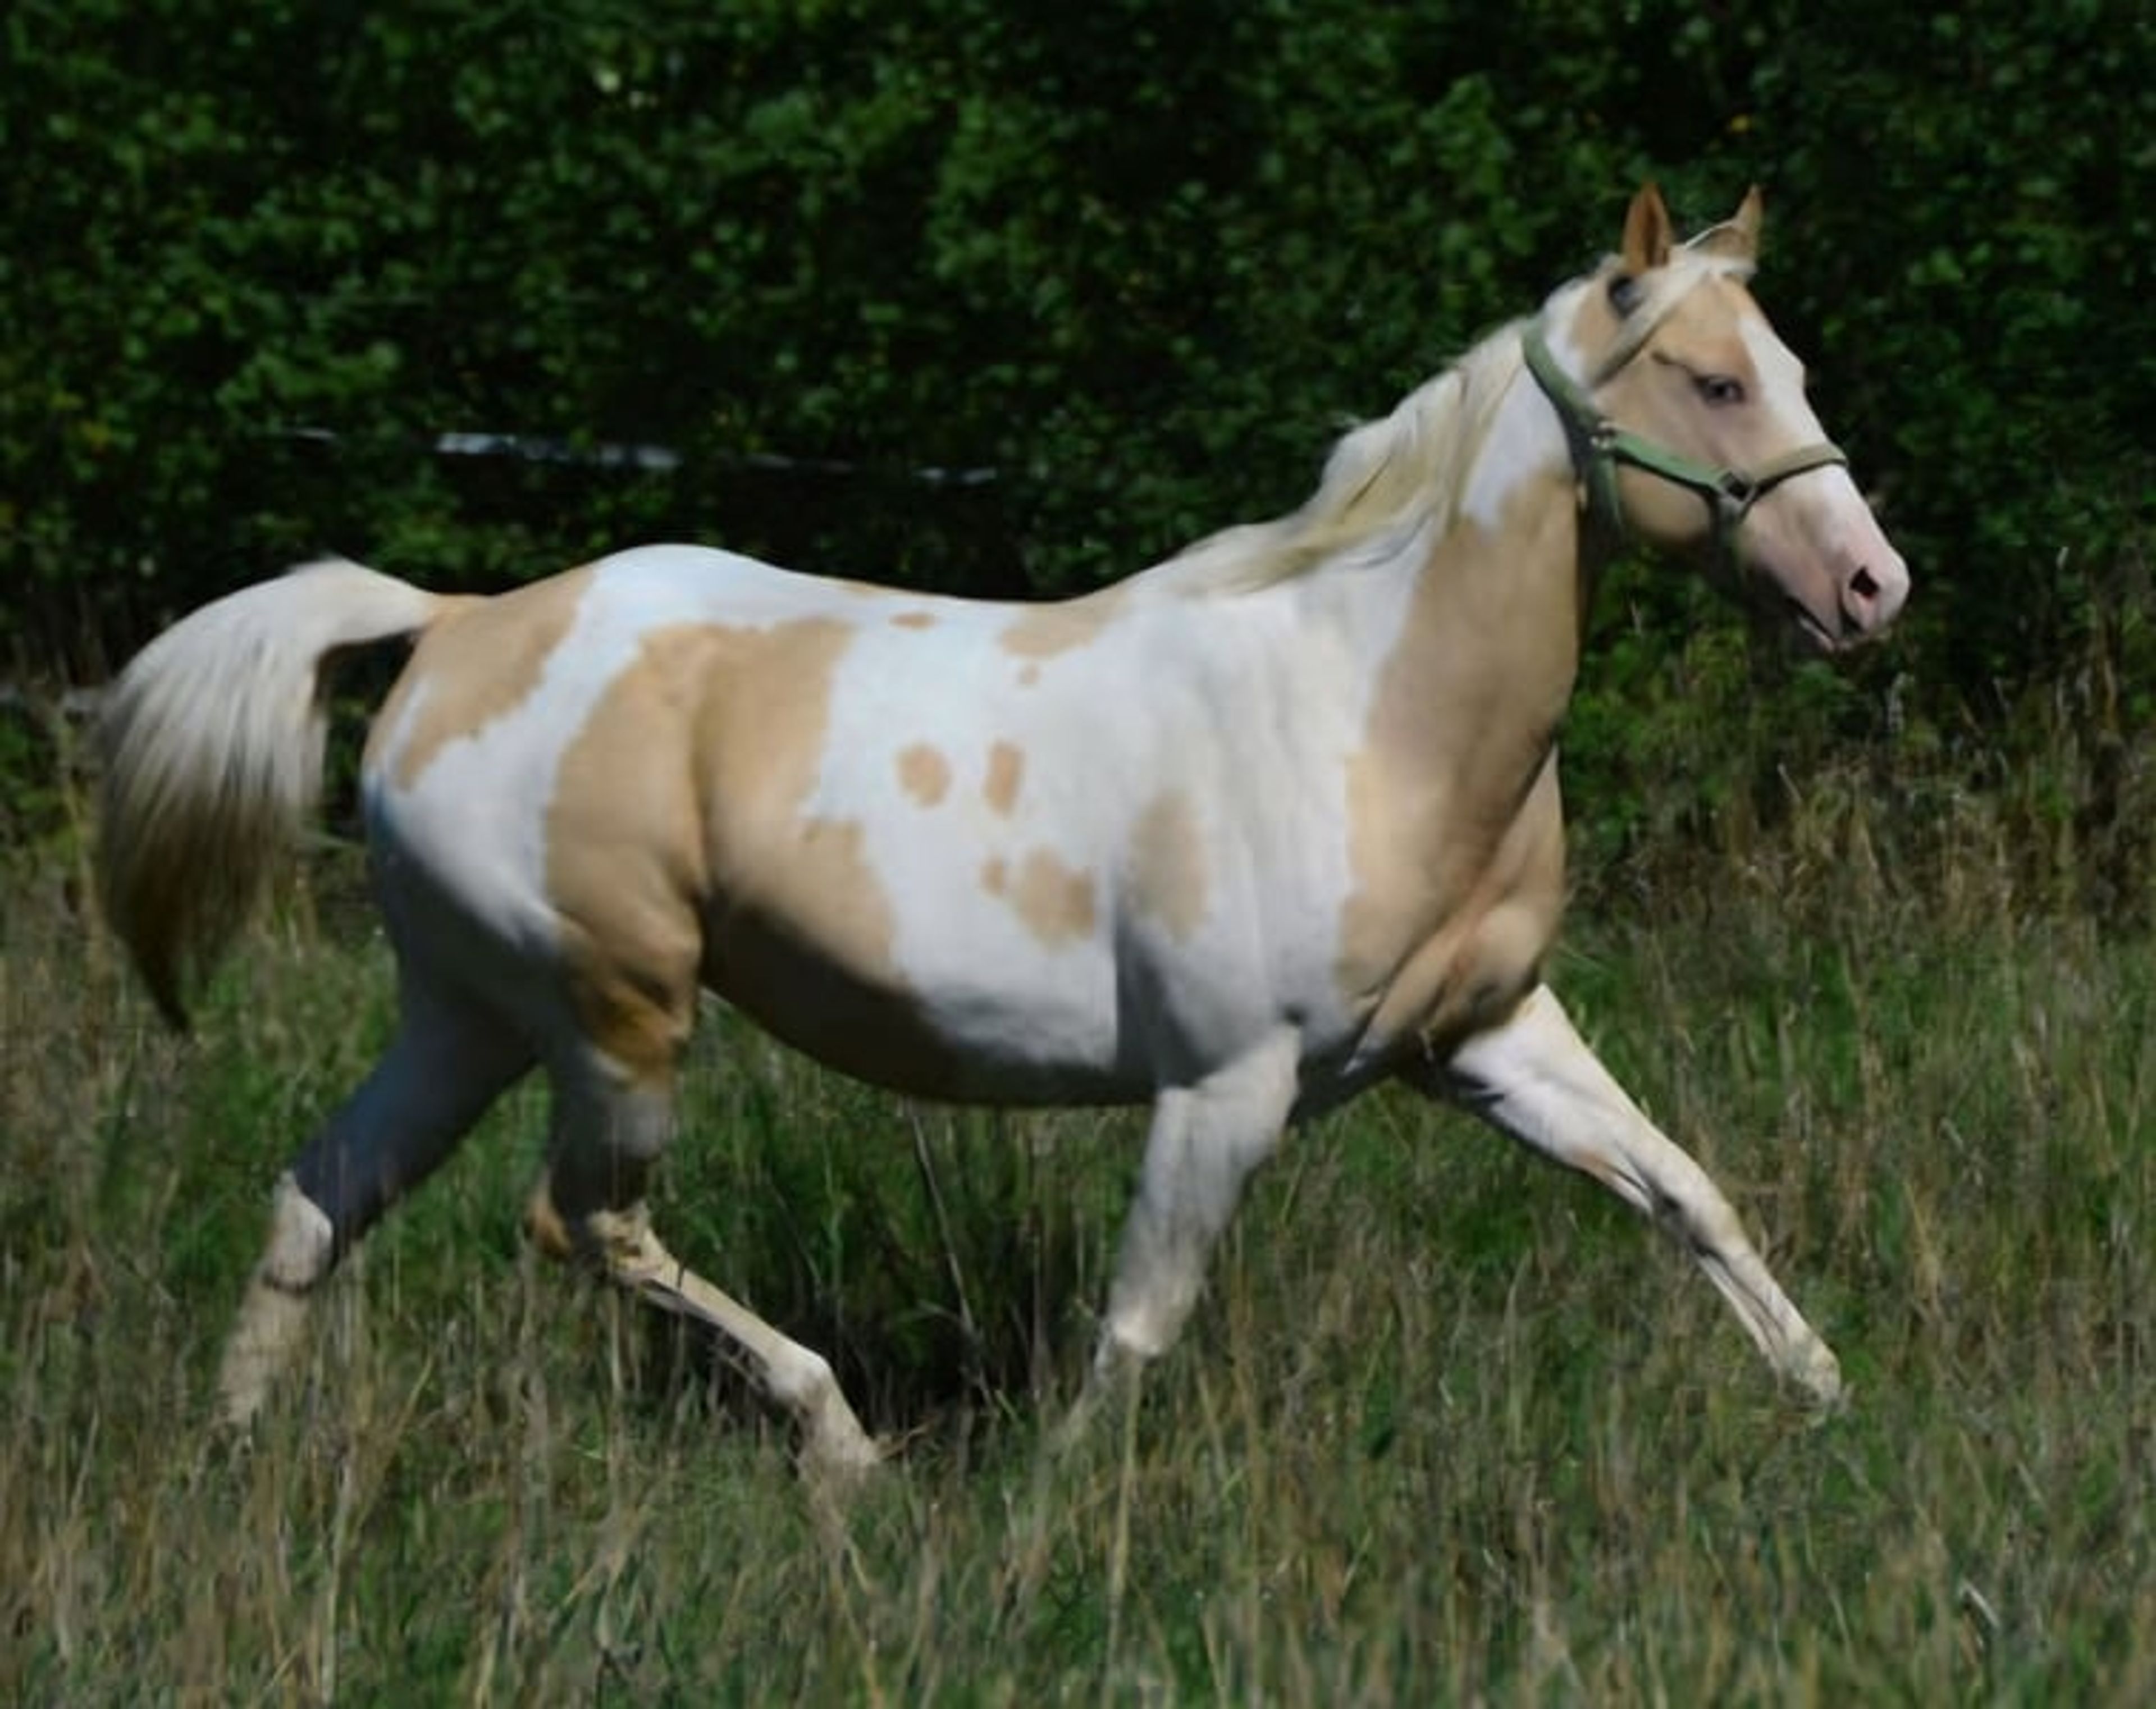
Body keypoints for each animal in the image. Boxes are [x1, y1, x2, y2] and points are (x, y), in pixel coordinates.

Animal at [97, 185, 1907, 1475]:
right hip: (615, 1015)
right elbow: (1139, 1321)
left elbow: (1688, 1195)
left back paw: (232, 1457)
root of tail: (457, 625)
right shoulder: (1224, 1085)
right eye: (1716, 379)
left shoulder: (1485, 1037)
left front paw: (1836, 1401)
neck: (1362, 706)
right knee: (574, 1220)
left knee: (320, 1196)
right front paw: (1055, 1501)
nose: (1869, 588)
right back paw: (841, 1442)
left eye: (1797, 373)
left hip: (465, 1012)